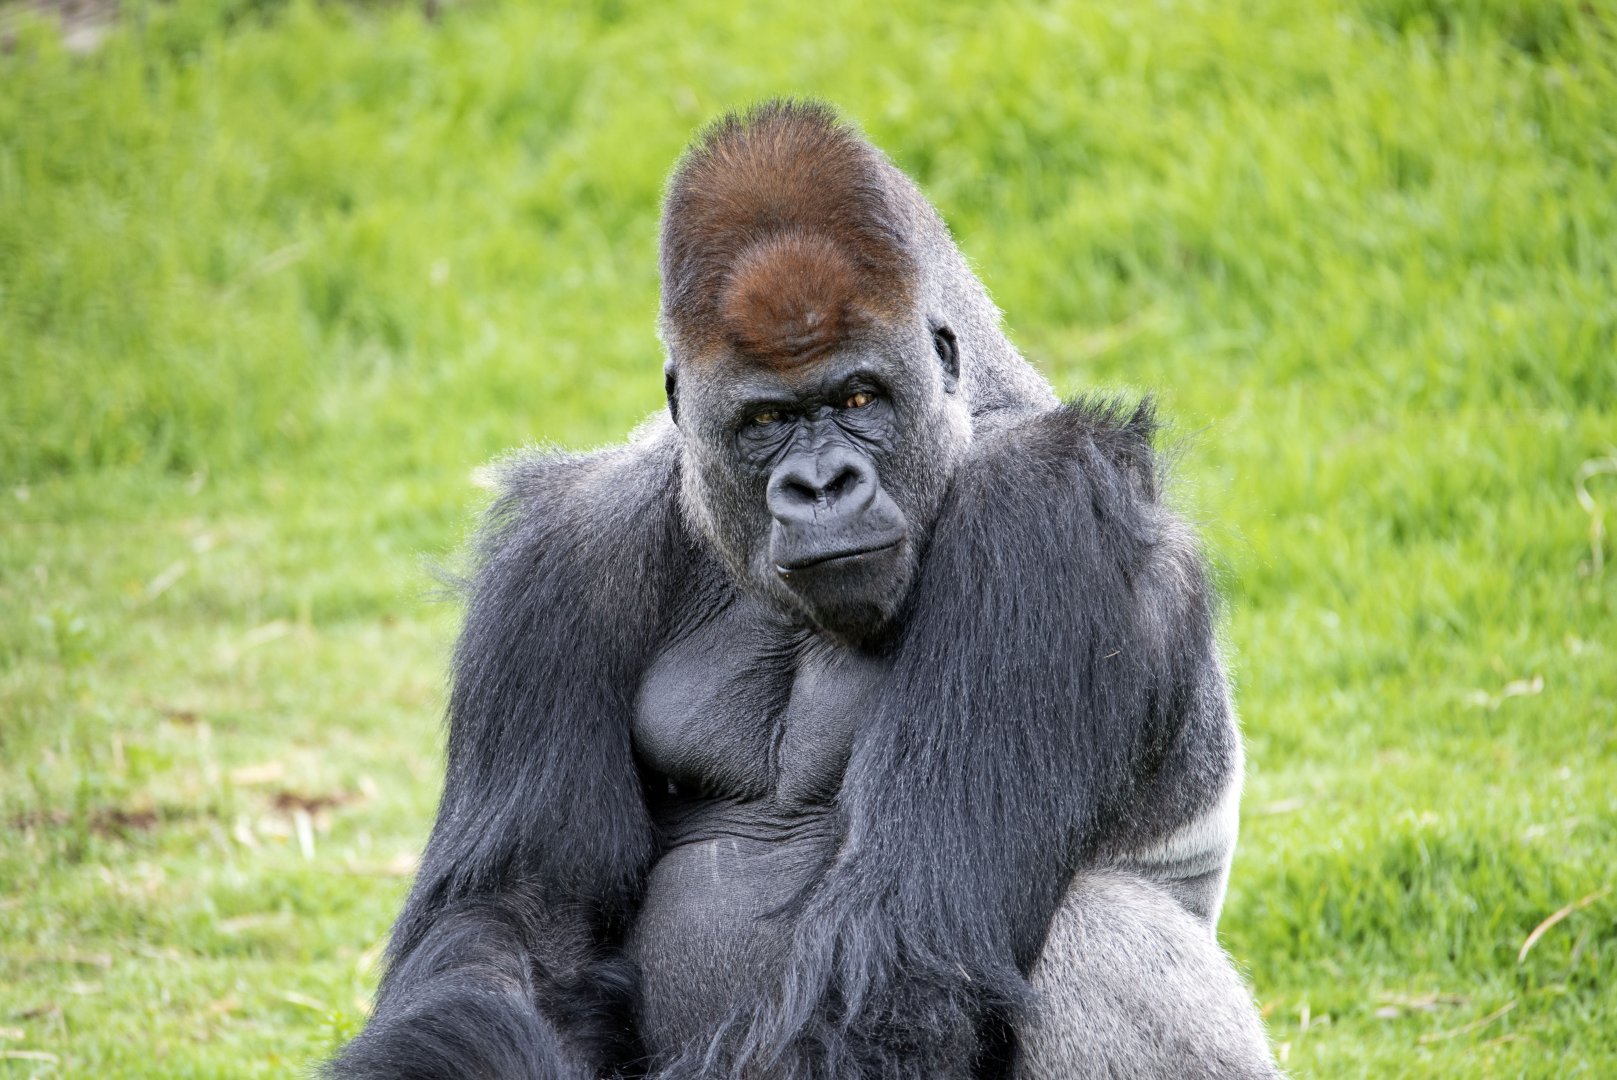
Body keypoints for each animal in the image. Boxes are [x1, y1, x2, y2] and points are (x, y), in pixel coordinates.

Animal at [328, 100, 1282, 1080]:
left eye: (859, 400)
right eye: (767, 420)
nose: (822, 486)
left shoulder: (1045, 513)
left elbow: (904, 936)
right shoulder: (562, 557)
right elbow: (515, 920)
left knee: (1096, 932)